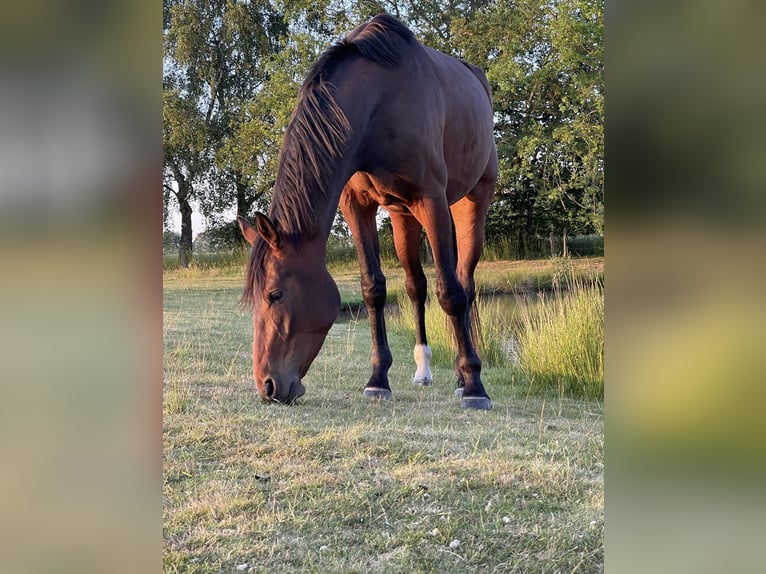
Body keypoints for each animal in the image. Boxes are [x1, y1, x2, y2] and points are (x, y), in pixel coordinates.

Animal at [238, 13, 497, 409]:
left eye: (275, 295)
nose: (267, 386)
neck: (380, 104)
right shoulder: (356, 205)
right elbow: (373, 288)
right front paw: (378, 380)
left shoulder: (432, 200)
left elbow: (450, 293)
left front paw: (474, 386)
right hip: (403, 216)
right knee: (416, 286)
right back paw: (423, 370)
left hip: (471, 201)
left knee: (464, 284)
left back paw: (461, 375)